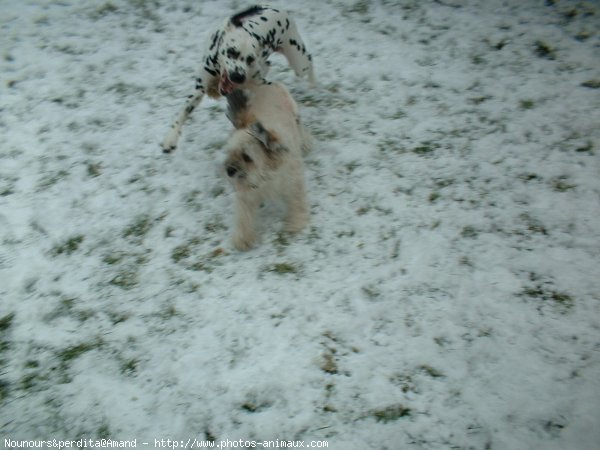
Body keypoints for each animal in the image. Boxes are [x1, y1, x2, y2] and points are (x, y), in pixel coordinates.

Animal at [162, 4, 316, 154]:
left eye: (250, 58)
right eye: (232, 51)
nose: (238, 77)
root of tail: (278, 9)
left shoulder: (264, 83)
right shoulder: (200, 89)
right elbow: (182, 112)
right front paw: (170, 138)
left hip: (299, 61)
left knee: (309, 60)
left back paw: (313, 85)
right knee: (269, 64)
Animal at [223, 82, 312, 251]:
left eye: (247, 157)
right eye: (230, 152)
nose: (229, 171)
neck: (265, 174)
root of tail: (263, 84)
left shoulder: (291, 183)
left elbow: (296, 201)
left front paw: (296, 223)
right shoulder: (246, 193)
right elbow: (243, 214)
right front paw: (243, 238)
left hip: (294, 112)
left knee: (301, 128)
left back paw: (305, 144)